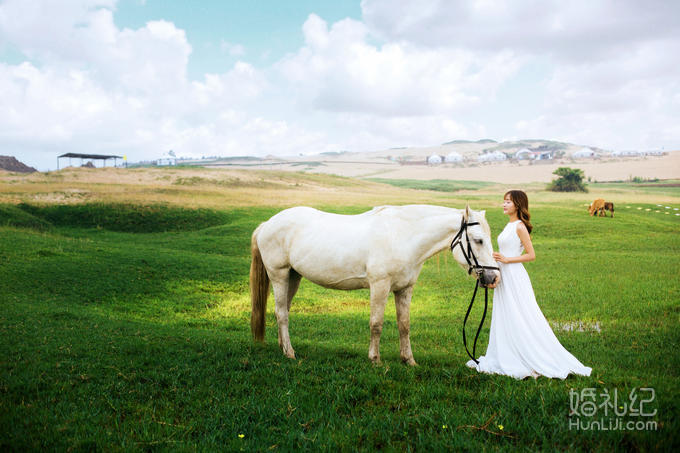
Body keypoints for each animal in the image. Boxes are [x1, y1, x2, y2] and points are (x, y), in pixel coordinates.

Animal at [250, 204, 500, 364]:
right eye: (478, 240)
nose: (494, 278)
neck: (402, 236)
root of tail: (267, 224)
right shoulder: (380, 286)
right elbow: (376, 324)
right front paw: (375, 359)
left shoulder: (404, 289)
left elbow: (404, 325)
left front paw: (408, 360)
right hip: (279, 275)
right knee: (282, 313)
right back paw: (290, 353)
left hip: (293, 277)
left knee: (283, 310)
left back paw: (283, 347)